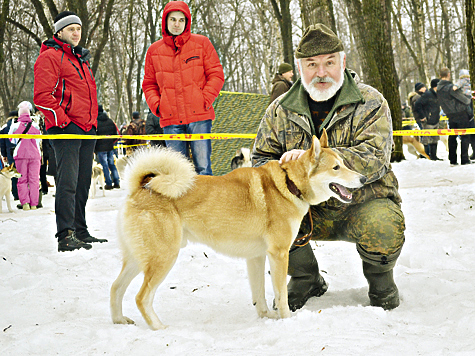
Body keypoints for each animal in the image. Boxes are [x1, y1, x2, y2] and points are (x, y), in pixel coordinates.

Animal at [111, 131, 368, 330]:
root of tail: (140, 188)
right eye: (336, 168)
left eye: (345, 163)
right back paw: (159, 327)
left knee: (115, 287)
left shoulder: (256, 257)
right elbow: (280, 295)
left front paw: (267, 317)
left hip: (138, 258)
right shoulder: (278, 253)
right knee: (141, 297)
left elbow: (260, 294)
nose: (364, 179)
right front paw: (286, 320)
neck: (288, 185)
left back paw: (119, 321)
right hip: (163, 257)